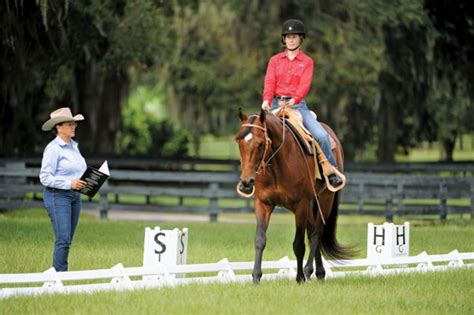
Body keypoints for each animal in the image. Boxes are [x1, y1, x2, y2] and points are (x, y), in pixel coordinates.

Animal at [235, 108, 354, 284]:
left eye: (261, 143)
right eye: (239, 142)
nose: (246, 182)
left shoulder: (301, 205)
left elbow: (298, 244)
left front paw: (300, 278)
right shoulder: (263, 204)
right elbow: (260, 240)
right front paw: (256, 276)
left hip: (325, 199)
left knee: (316, 233)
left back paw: (309, 270)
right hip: (311, 204)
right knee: (311, 232)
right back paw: (319, 272)